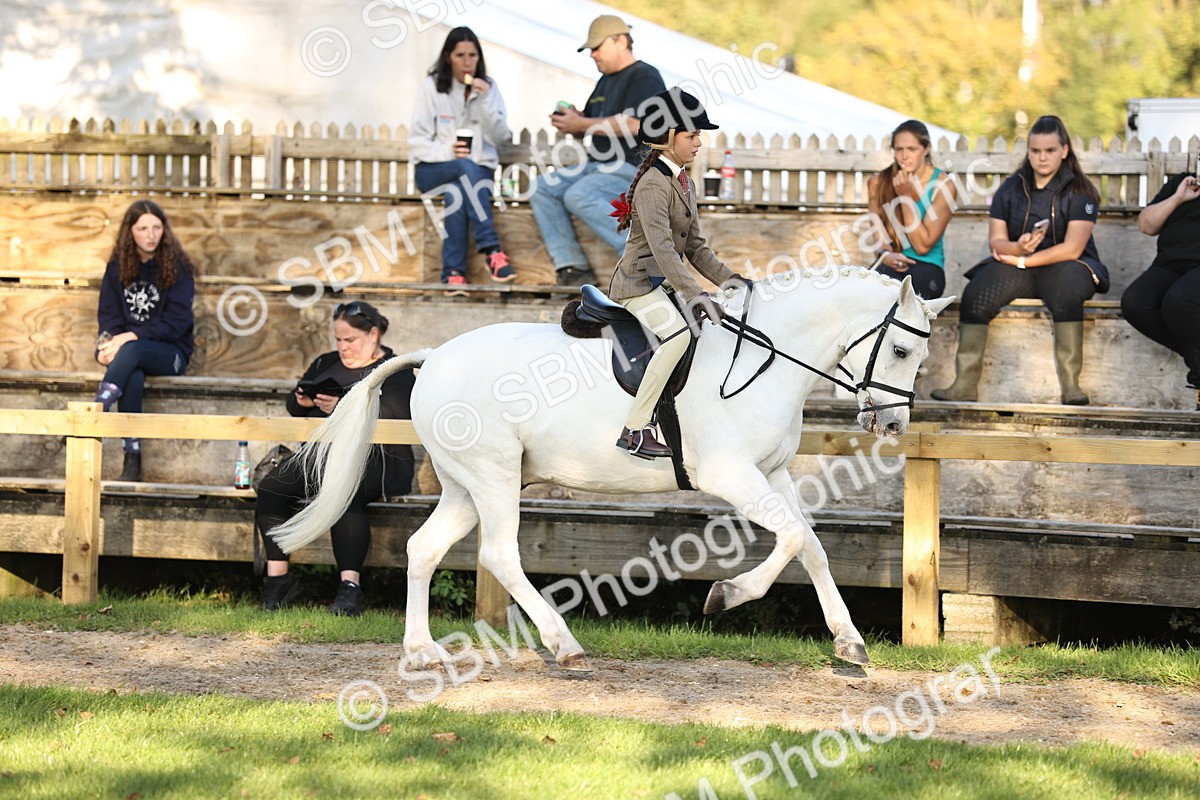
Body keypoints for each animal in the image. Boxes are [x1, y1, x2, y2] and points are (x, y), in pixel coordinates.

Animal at [270, 270, 954, 670]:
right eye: (900, 349)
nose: (893, 425)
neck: (767, 357)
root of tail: (434, 354)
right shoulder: (731, 475)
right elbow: (788, 539)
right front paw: (725, 595)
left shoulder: (775, 473)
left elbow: (810, 546)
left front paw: (848, 642)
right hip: (494, 476)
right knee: (499, 554)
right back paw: (562, 644)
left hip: (468, 484)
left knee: (422, 549)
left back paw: (422, 650)